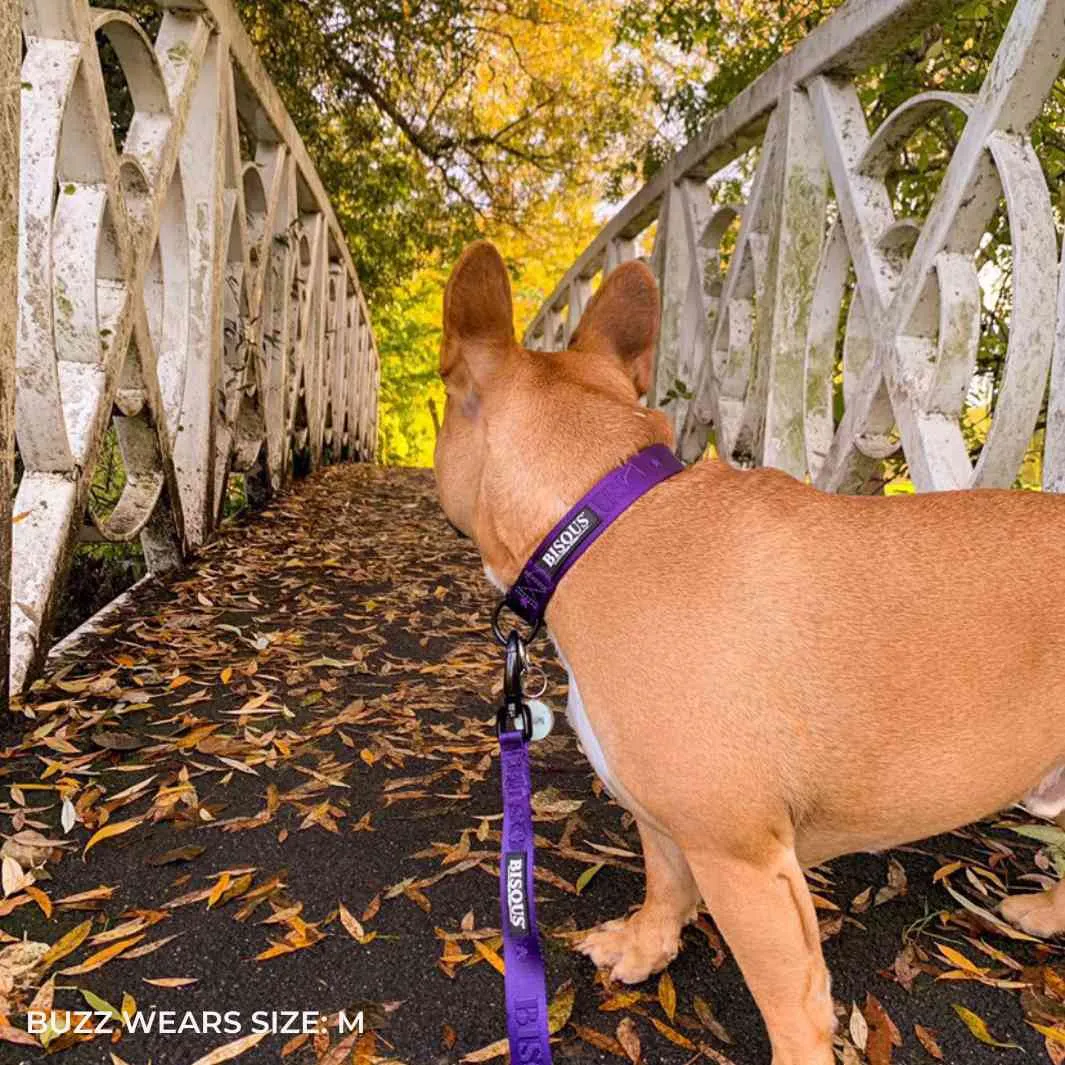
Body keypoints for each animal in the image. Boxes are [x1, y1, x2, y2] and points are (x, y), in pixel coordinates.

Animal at [430, 241, 1065, 1065]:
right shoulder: (667, 816)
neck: (598, 517)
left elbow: (787, 1003)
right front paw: (646, 945)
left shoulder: (744, 864)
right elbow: (664, 877)